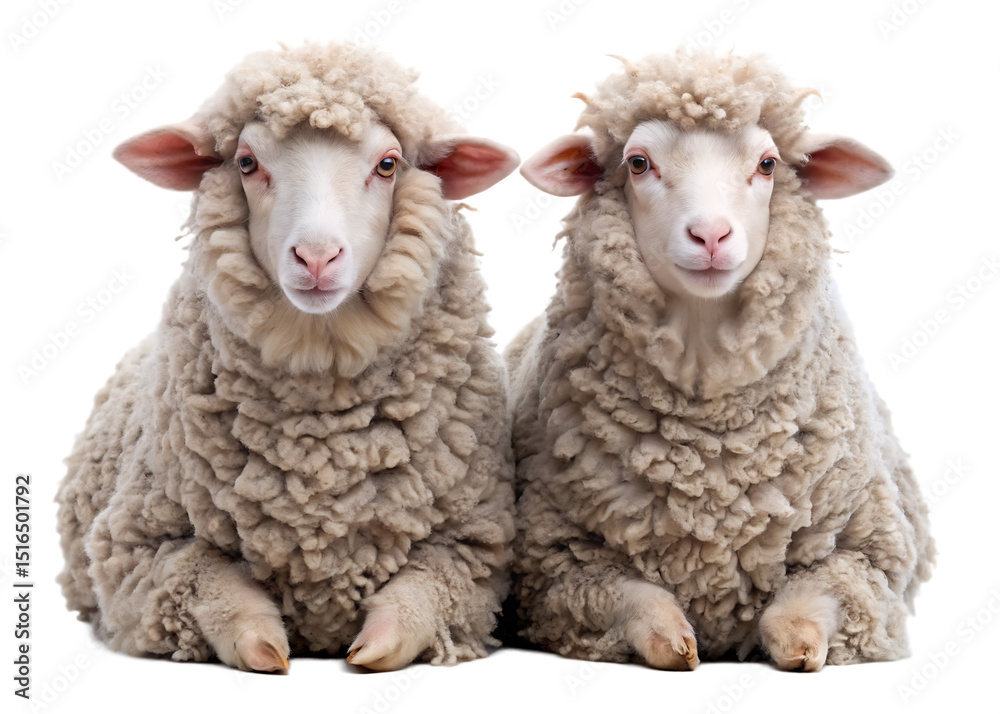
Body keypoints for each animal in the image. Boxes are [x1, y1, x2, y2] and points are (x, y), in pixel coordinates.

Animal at [55, 42, 519, 673]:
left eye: (389, 164)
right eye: (247, 163)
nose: (317, 257)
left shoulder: (472, 549)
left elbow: (419, 598)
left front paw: (373, 646)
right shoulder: (136, 549)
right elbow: (215, 588)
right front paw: (266, 645)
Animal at [506, 51, 934, 671]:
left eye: (767, 163)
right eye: (638, 163)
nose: (710, 235)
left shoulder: (868, 555)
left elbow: (801, 606)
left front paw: (800, 646)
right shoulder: (558, 564)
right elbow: (637, 599)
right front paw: (674, 641)